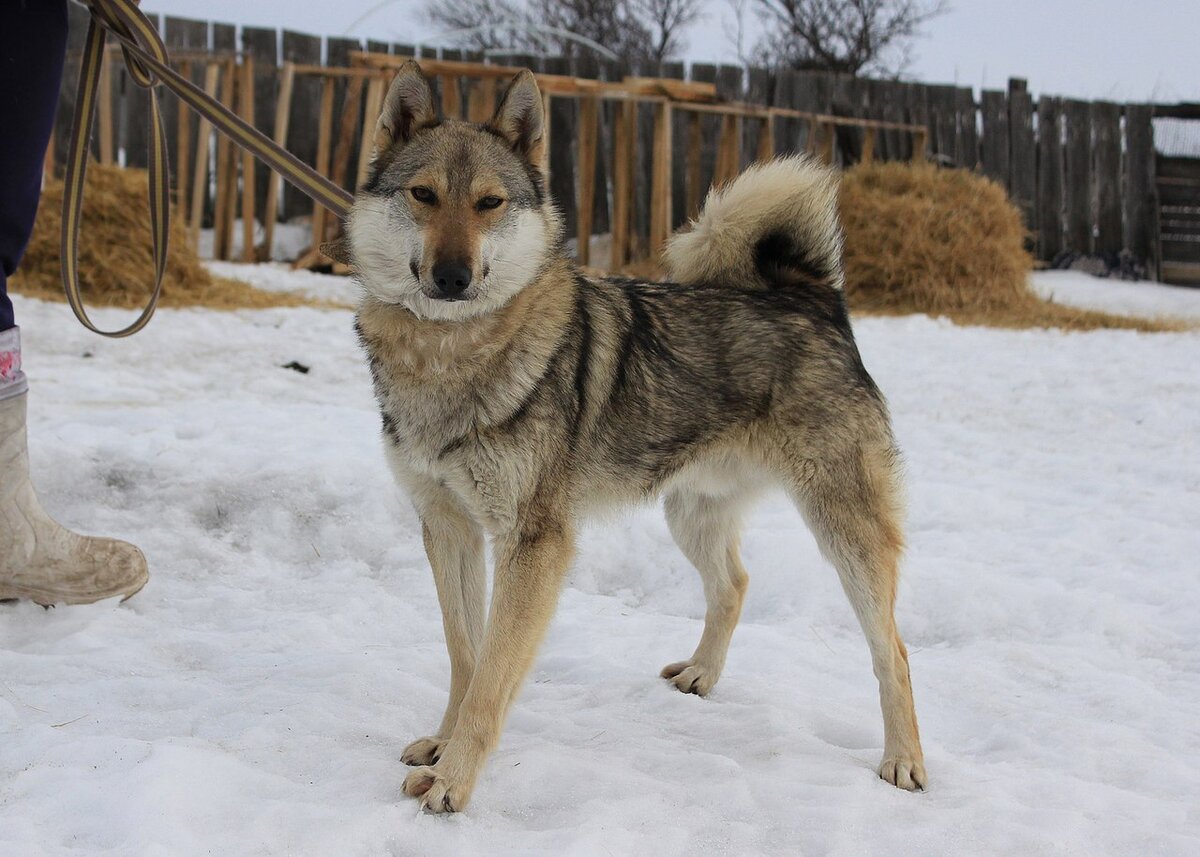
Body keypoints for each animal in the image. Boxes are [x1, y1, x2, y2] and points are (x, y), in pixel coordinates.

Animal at [348, 61, 926, 816]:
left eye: (489, 203)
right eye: (423, 195)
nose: (452, 275)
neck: (451, 354)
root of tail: (814, 297)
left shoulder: (534, 545)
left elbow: (492, 678)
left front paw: (455, 780)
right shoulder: (448, 528)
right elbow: (465, 655)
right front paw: (442, 747)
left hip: (845, 532)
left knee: (894, 650)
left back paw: (904, 760)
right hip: (690, 513)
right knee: (735, 584)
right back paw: (702, 676)